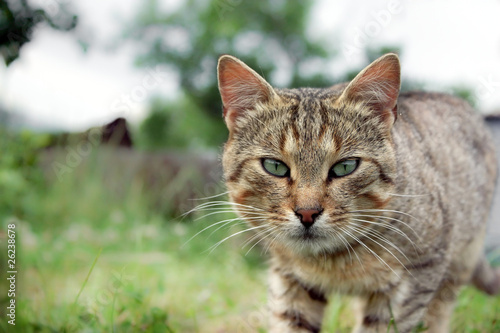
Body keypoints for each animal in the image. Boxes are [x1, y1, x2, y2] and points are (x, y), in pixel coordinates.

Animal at [215, 53, 500, 330]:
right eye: (274, 166)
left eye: (345, 166)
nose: (307, 213)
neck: (333, 262)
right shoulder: (289, 279)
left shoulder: (415, 279)